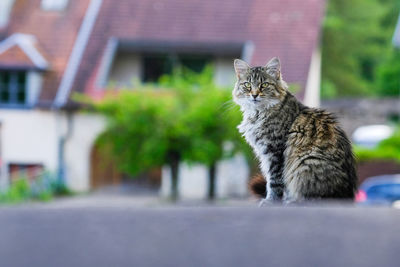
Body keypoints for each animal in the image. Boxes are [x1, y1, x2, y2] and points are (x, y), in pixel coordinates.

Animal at [231, 58, 356, 203]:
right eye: (247, 85)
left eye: (264, 85)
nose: (254, 95)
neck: (258, 113)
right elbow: (271, 180)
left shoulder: (274, 151)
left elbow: (274, 181)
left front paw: (271, 201)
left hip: (306, 162)